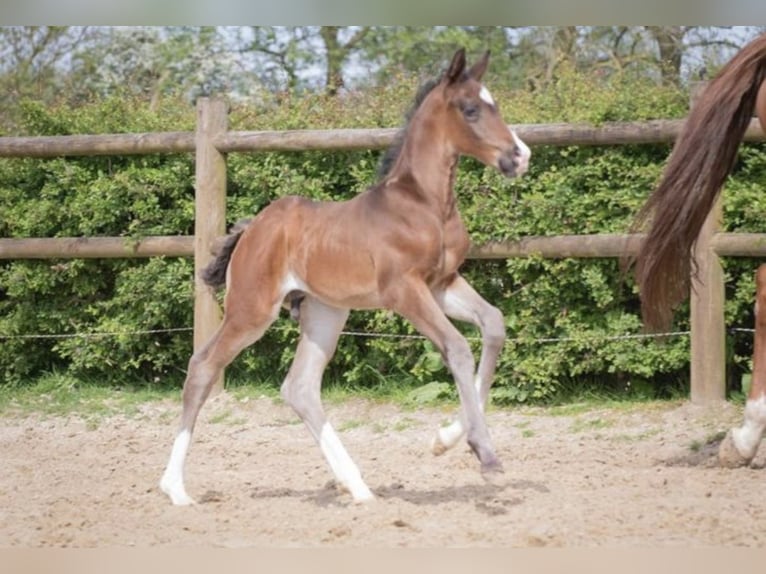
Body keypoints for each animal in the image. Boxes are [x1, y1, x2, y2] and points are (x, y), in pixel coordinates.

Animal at [160, 50, 536, 508]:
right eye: (470, 109)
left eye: (493, 103)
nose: (520, 156)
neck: (423, 204)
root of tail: (250, 229)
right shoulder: (404, 291)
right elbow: (458, 348)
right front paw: (483, 452)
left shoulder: (442, 284)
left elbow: (494, 325)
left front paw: (446, 438)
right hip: (251, 311)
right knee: (203, 366)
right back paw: (176, 488)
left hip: (326, 312)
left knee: (300, 387)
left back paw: (358, 487)